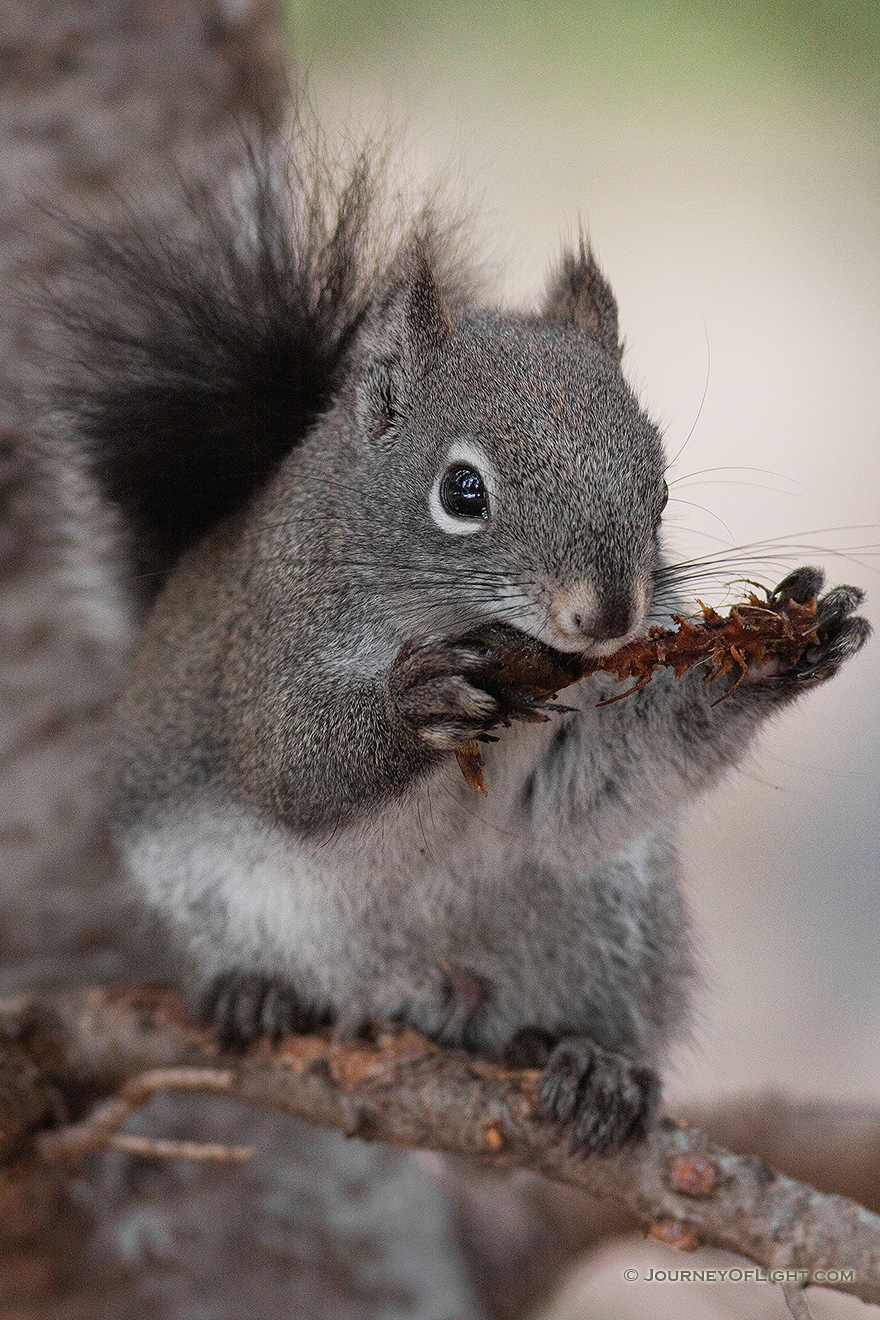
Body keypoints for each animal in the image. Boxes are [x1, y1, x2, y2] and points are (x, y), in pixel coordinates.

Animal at [51, 124, 870, 1156]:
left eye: (660, 490)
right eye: (463, 491)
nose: (609, 617)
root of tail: (410, 1000)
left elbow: (589, 795)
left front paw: (774, 651)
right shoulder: (266, 639)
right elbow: (287, 762)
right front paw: (415, 704)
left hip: (608, 925)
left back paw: (590, 1065)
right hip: (215, 896)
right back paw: (256, 993)